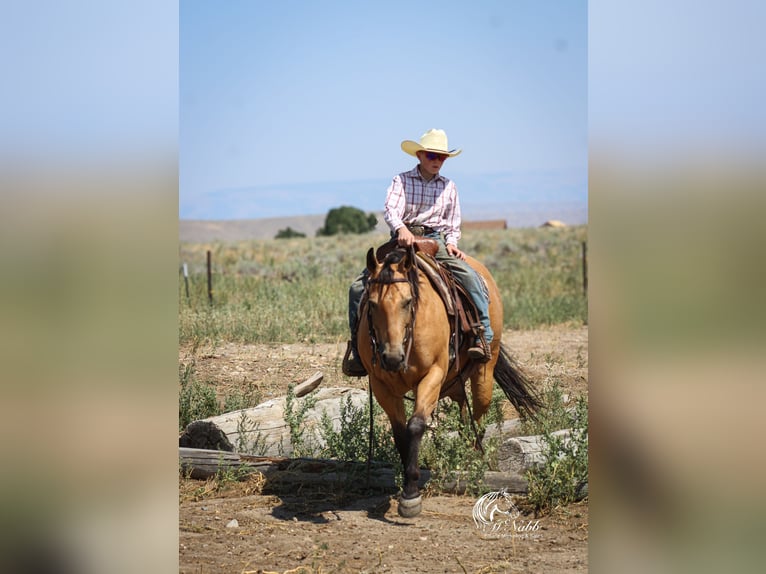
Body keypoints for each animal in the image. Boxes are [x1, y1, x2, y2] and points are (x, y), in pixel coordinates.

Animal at [357, 242, 540, 518]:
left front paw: (411, 495)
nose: (391, 357)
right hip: (454, 383)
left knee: (479, 417)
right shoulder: (382, 386)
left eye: (408, 302)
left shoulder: (433, 374)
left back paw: (472, 461)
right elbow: (400, 434)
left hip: (483, 373)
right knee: (464, 414)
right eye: (371, 303)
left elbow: (416, 425)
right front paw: (406, 482)